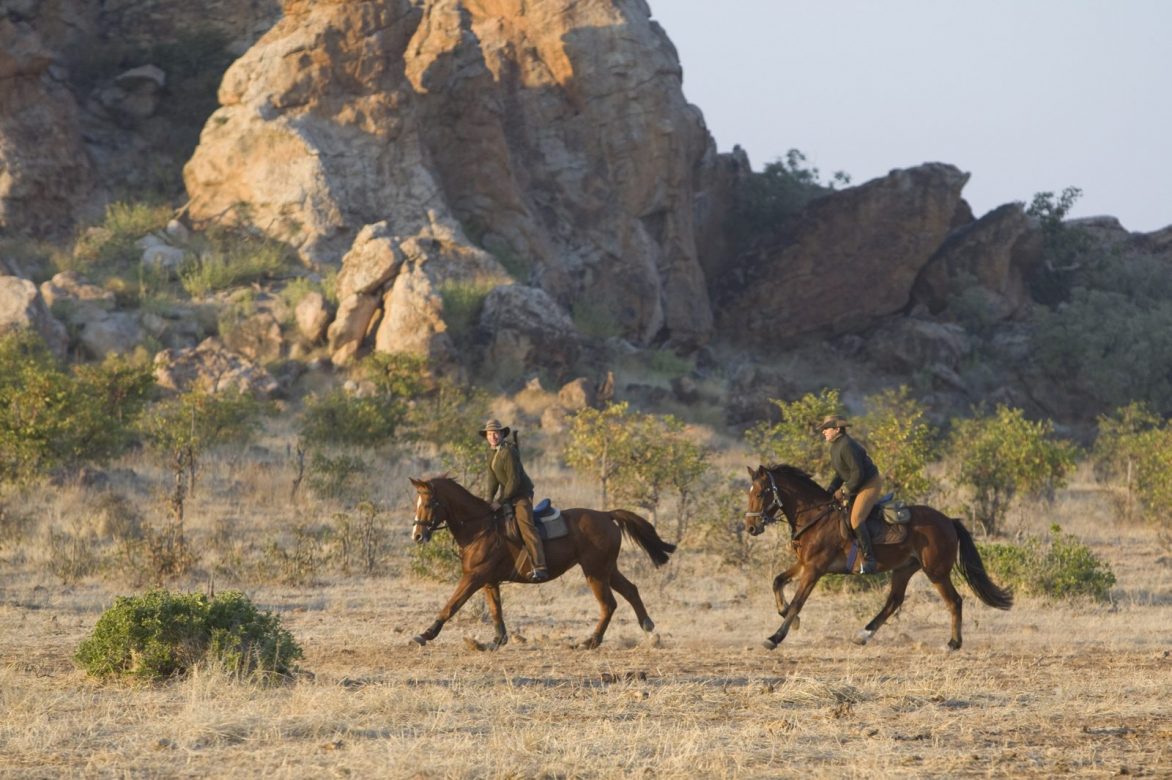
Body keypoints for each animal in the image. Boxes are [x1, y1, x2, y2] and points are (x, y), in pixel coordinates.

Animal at [410, 477, 679, 646]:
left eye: (430, 502)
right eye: (417, 502)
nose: (417, 535)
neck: (480, 527)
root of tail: (606, 515)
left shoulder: (474, 577)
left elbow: (451, 605)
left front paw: (425, 634)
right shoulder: (488, 581)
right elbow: (496, 610)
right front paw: (498, 640)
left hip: (595, 571)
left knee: (609, 604)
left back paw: (590, 641)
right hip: (606, 569)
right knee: (630, 590)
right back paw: (647, 626)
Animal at [745, 463, 1012, 646]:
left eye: (760, 493)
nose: (751, 528)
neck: (815, 516)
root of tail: (949, 521)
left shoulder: (814, 569)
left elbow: (798, 602)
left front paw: (775, 637)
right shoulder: (804, 564)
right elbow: (777, 582)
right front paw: (790, 619)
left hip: (935, 571)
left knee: (954, 601)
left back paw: (953, 644)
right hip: (904, 568)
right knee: (894, 601)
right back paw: (864, 635)